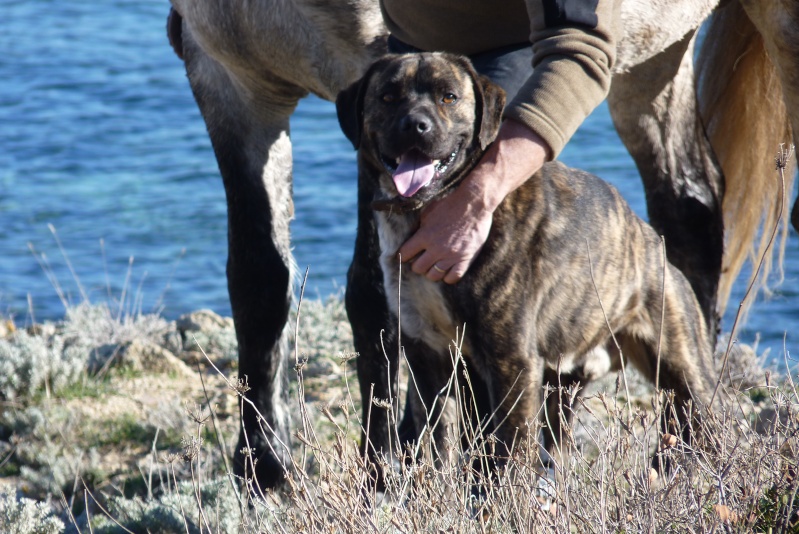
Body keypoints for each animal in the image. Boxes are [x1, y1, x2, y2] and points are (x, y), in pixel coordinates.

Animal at [338, 52, 720, 474]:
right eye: (388, 96)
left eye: (448, 97)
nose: (416, 125)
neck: (428, 211)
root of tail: (651, 242)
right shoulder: (429, 355)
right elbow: (441, 444)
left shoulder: (512, 363)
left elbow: (507, 456)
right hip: (563, 384)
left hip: (684, 373)